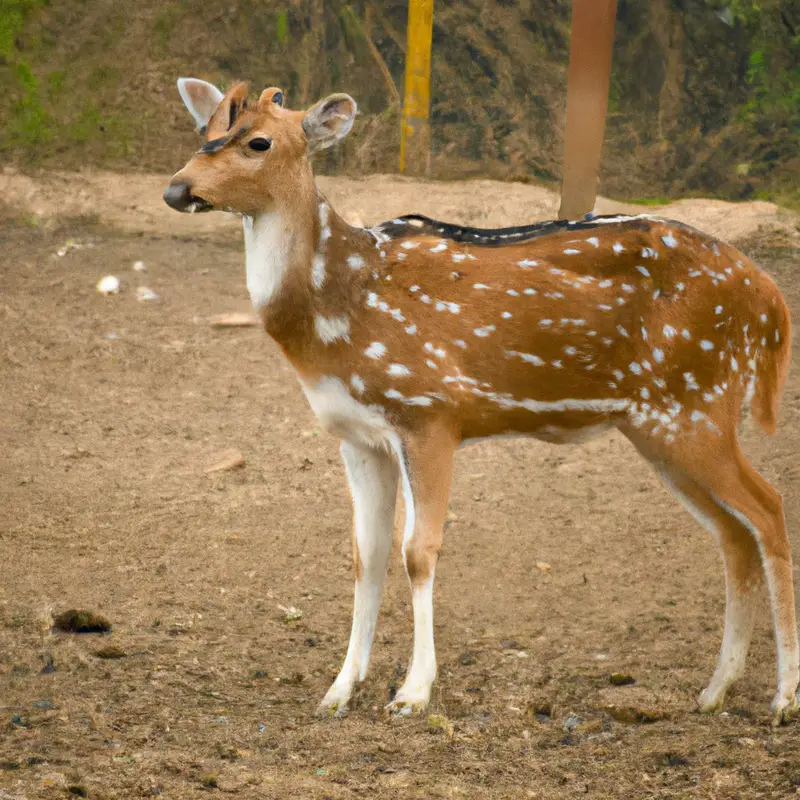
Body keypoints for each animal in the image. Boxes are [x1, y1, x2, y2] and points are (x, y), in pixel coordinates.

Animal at [166, 78, 796, 720]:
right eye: (203, 129)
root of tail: (769, 298)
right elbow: (366, 555)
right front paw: (339, 690)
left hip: (698, 404)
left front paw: (413, 693)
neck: (333, 317)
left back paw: (782, 695)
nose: (176, 189)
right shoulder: (356, 436)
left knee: (768, 509)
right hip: (660, 425)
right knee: (733, 534)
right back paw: (715, 690)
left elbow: (418, 550)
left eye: (258, 141)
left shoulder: (430, 412)